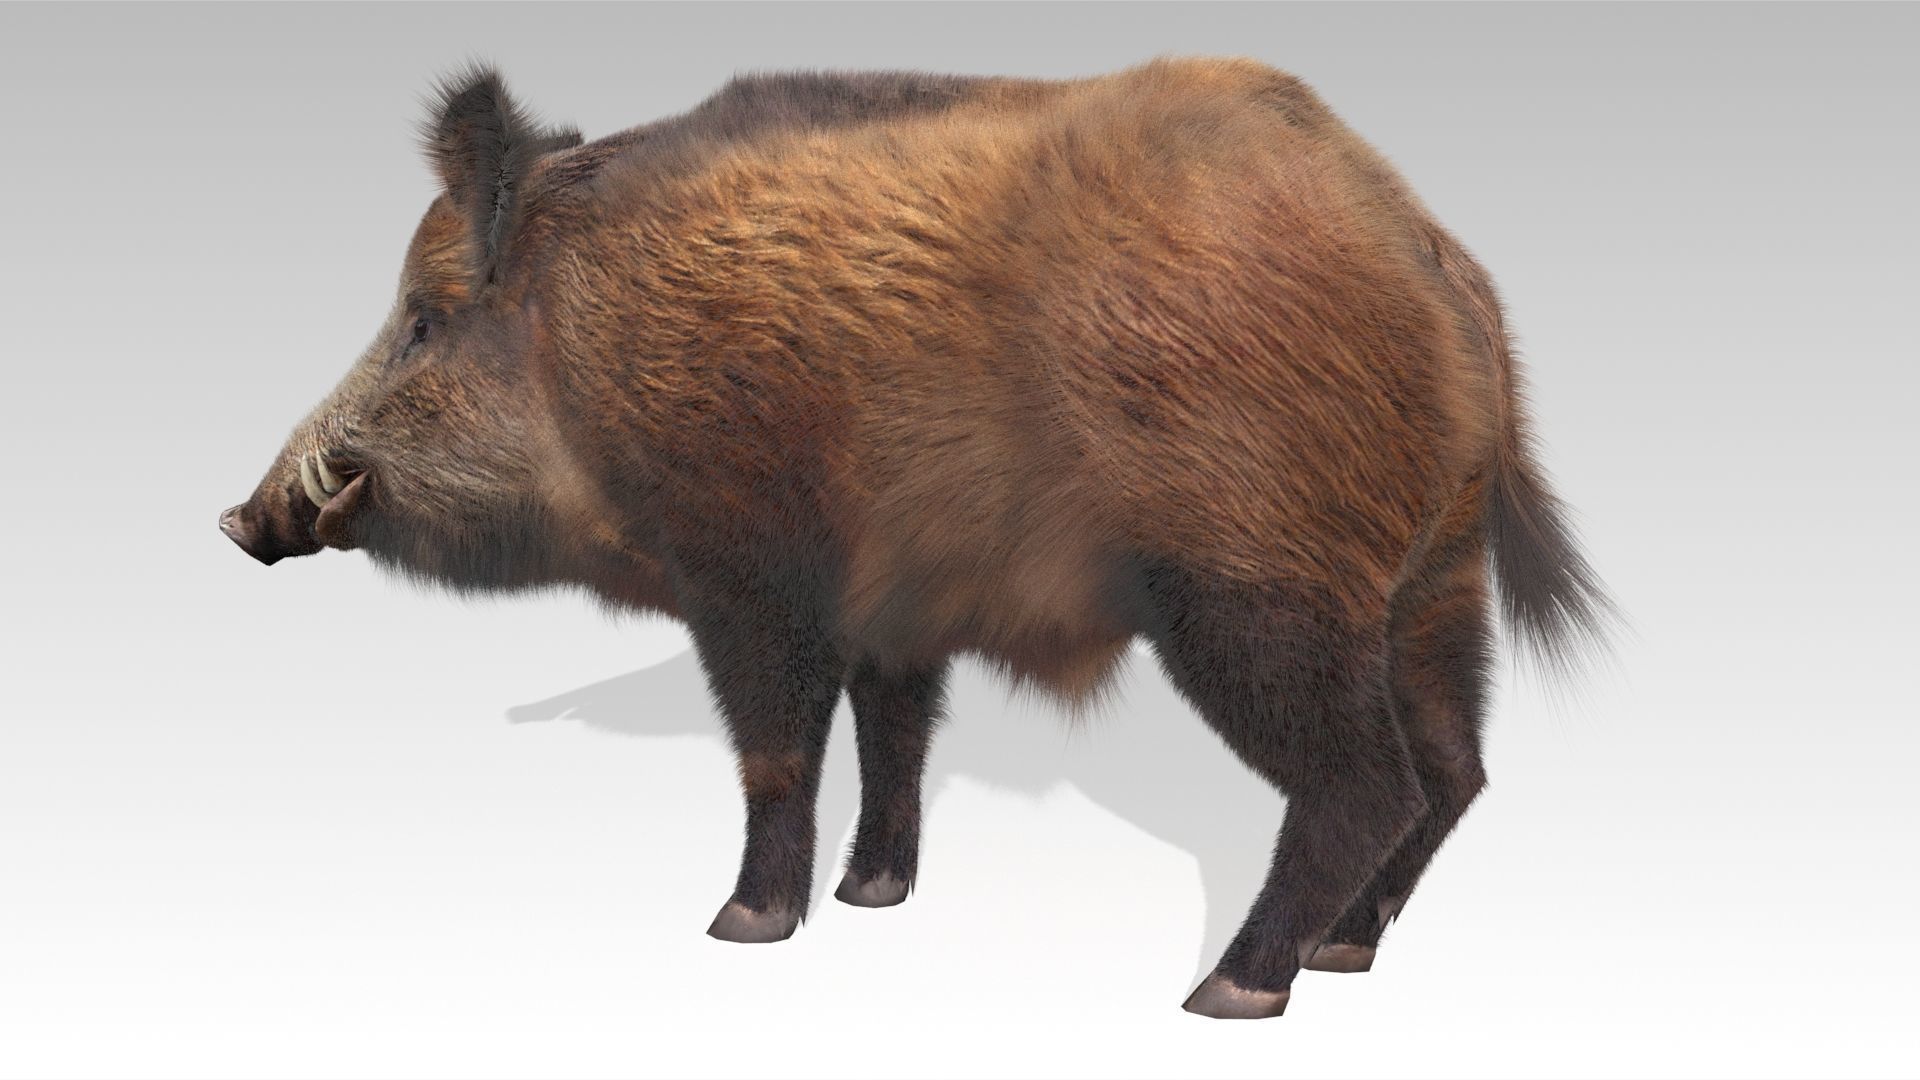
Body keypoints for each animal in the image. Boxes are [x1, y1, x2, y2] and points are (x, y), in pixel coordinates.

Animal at [219, 58, 1614, 1019]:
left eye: (423, 321)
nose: (239, 517)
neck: (588, 347)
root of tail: (1436, 260)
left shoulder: (747, 572)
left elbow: (777, 752)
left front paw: (742, 929)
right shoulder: (897, 606)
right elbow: (894, 739)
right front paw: (871, 899)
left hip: (1260, 590)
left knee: (1367, 782)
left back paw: (1232, 991)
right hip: (1432, 584)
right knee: (1454, 772)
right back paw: (1346, 954)